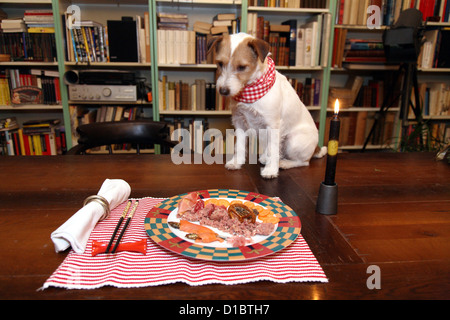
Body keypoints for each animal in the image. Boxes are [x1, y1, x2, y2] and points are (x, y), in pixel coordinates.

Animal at [207, 33, 326, 179]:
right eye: (220, 63)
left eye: (242, 67)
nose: (223, 91)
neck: (250, 91)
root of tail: (316, 149)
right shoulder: (239, 122)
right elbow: (239, 146)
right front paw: (236, 162)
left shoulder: (273, 125)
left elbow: (274, 149)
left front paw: (271, 170)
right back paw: (265, 157)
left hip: (293, 141)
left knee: (303, 162)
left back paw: (285, 163)